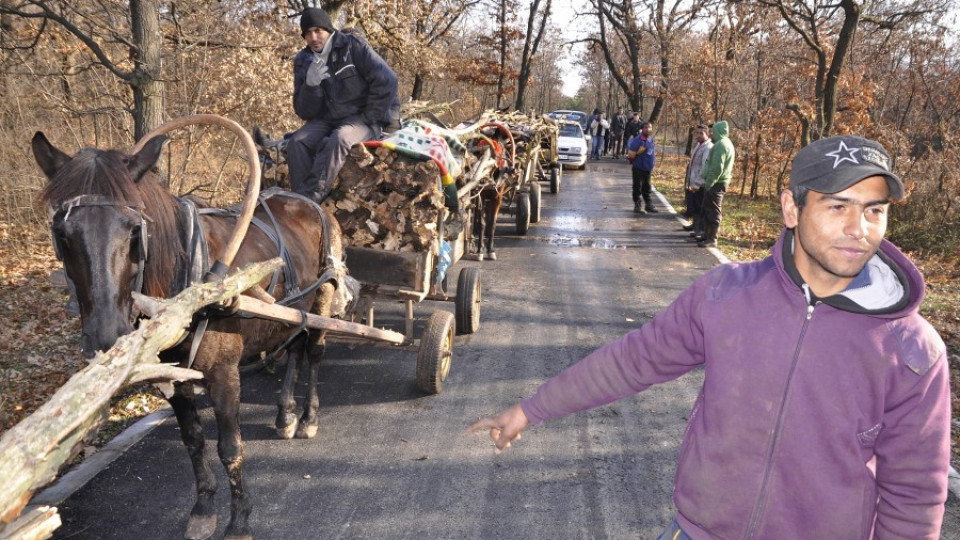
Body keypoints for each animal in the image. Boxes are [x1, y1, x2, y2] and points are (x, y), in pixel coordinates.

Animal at [34, 132, 348, 540]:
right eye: (61, 233)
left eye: (134, 231)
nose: (108, 337)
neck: (187, 285)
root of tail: (310, 202)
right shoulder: (173, 378)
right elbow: (194, 441)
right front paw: (203, 508)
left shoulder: (224, 374)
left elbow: (230, 448)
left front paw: (239, 521)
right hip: (293, 307)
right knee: (293, 344)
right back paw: (285, 415)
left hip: (324, 296)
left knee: (313, 351)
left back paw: (308, 417)